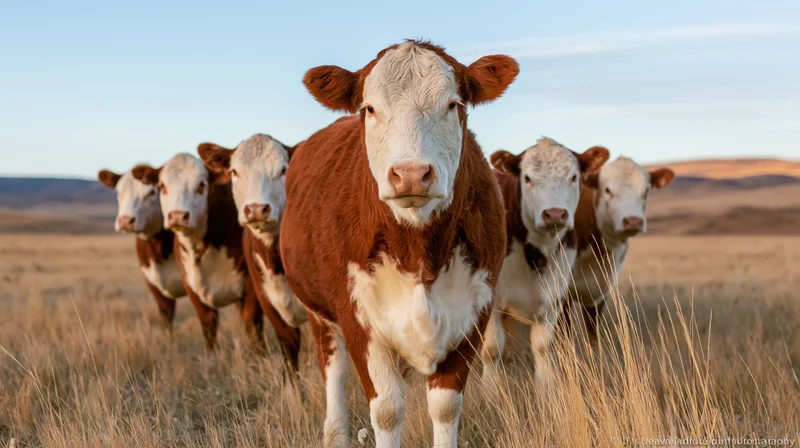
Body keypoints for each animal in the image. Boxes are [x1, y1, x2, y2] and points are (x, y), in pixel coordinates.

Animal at [132, 153, 265, 353]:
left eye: (202, 185)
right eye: (162, 186)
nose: (178, 216)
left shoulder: (251, 285)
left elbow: (253, 325)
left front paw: (258, 357)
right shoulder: (191, 286)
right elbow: (208, 326)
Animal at [280, 40, 519, 448]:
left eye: (453, 104)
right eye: (370, 108)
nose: (410, 174)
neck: (419, 254)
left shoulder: (473, 313)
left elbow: (445, 407)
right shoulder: (358, 319)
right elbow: (388, 409)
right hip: (319, 312)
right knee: (333, 369)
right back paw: (335, 433)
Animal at [483, 139, 609, 390]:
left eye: (574, 177)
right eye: (527, 178)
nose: (555, 214)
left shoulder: (553, 301)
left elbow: (543, 348)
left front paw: (546, 389)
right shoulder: (492, 302)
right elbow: (492, 350)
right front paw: (490, 392)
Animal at [558, 155, 675, 344]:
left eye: (646, 191)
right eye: (607, 190)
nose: (633, 221)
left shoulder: (599, 292)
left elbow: (593, 337)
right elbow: (564, 337)